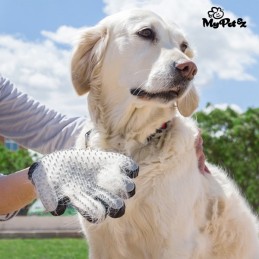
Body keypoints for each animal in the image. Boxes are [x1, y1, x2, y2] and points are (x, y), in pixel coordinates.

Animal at [71, 9, 259, 258]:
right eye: (146, 32)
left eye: (184, 46)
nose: (190, 68)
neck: (127, 142)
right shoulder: (101, 243)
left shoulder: (174, 243)